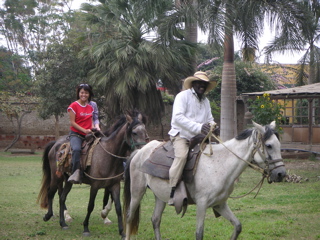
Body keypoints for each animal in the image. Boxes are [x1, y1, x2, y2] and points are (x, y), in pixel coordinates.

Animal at [37, 110, 149, 238]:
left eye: (145, 132)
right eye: (134, 133)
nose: (143, 151)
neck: (108, 156)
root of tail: (55, 145)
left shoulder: (114, 185)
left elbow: (118, 207)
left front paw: (122, 232)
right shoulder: (95, 186)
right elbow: (90, 206)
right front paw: (86, 228)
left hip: (68, 180)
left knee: (62, 197)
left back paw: (63, 223)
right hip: (56, 177)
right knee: (51, 193)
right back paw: (48, 216)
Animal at [122, 122, 284, 240]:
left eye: (279, 145)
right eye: (269, 146)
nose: (281, 174)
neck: (220, 164)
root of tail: (140, 151)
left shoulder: (220, 204)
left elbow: (238, 226)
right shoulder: (202, 204)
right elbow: (199, 234)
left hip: (160, 196)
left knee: (155, 220)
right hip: (137, 191)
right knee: (129, 217)